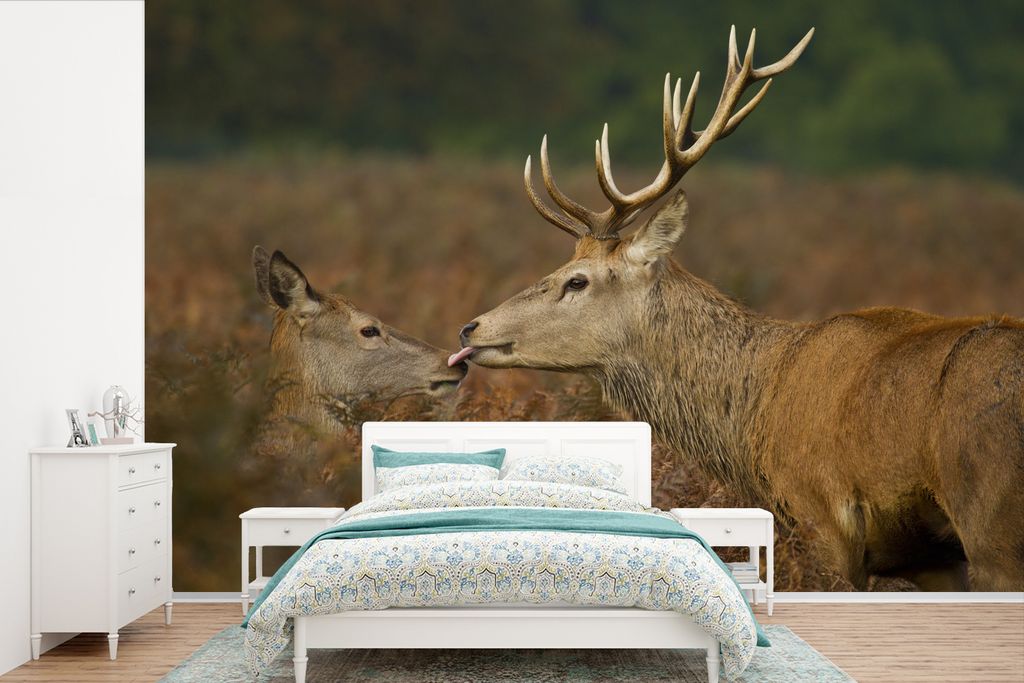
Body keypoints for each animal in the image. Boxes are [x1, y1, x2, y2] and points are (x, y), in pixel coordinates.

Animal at [452, 27, 1024, 591]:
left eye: (578, 280)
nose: (470, 328)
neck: (756, 416)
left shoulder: (822, 519)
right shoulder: (931, 560)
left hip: (992, 522)